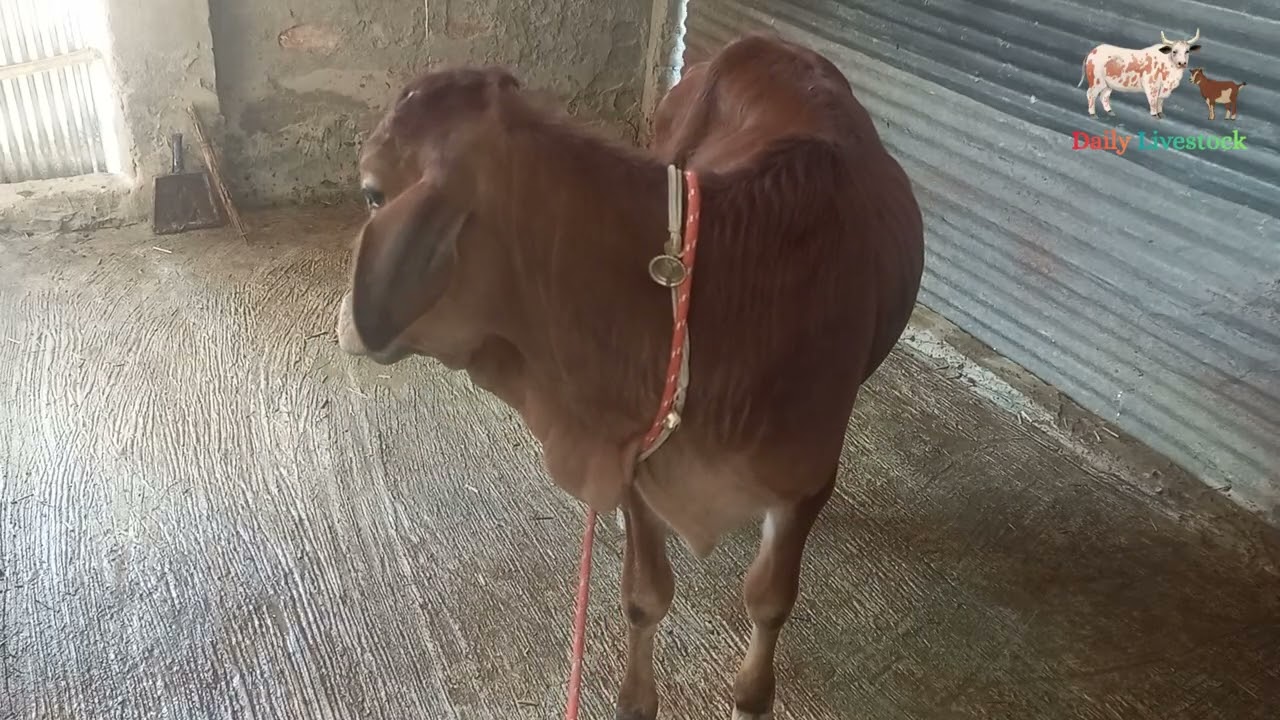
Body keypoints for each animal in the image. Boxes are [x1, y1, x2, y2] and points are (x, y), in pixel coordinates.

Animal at [334, 33, 925, 720]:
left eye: (373, 193)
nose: (344, 319)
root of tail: (761, 43)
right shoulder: (635, 449)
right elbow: (646, 595)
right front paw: (636, 699)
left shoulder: (801, 483)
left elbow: (769, 600)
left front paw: (751, 695)